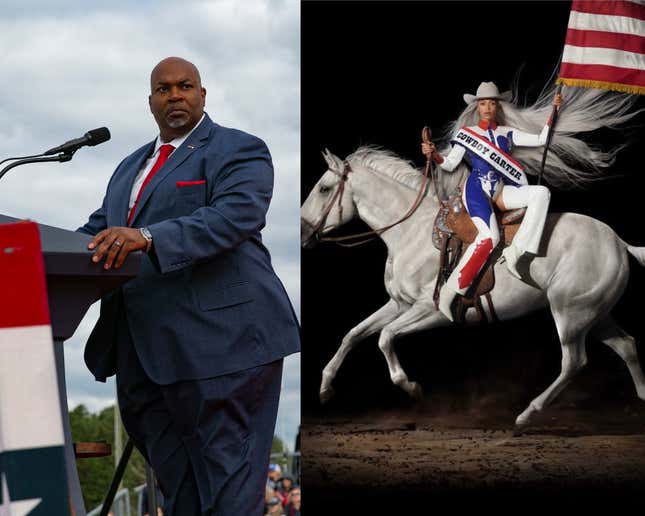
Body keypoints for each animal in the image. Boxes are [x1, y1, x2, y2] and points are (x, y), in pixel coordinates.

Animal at [300, 147, 644, 430]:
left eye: (324, 188)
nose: (303, 232)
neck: (412, 233)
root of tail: (618, 242)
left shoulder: (432, 310)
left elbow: (385, 338)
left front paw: (411, 387)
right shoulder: (398, 304)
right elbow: (354, 334)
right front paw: (325, 388)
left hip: (570, 314)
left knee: (573, 362)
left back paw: (526, 414)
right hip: (594, 315)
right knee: (626, 345)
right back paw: (641, 397)